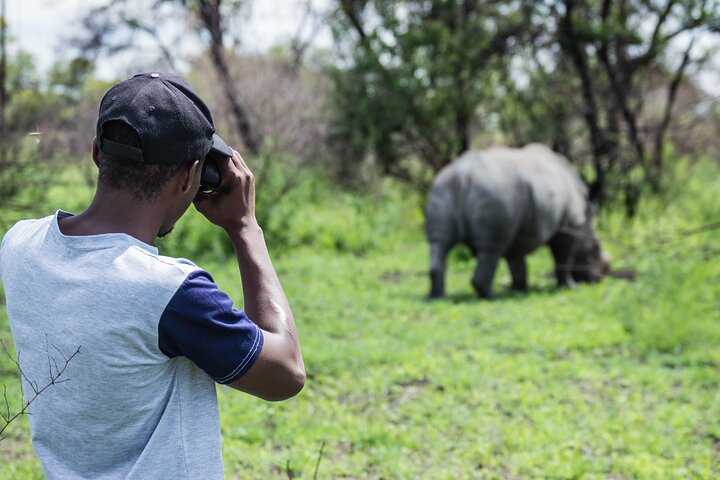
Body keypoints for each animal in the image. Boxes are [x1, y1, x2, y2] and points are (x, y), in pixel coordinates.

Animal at [424, 144, 610, 299]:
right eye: (595, 249)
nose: (598, 279)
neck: (586, 216)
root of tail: (463, 175)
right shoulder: (570, 225)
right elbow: (563, 258)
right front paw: (570, 287)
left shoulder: (522, 225)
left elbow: (517, 261)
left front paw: (519, 289)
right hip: (496, 193)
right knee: (491, 248)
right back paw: (492, 297)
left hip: (442, 187)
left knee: (439, 241)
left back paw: (436, 296)